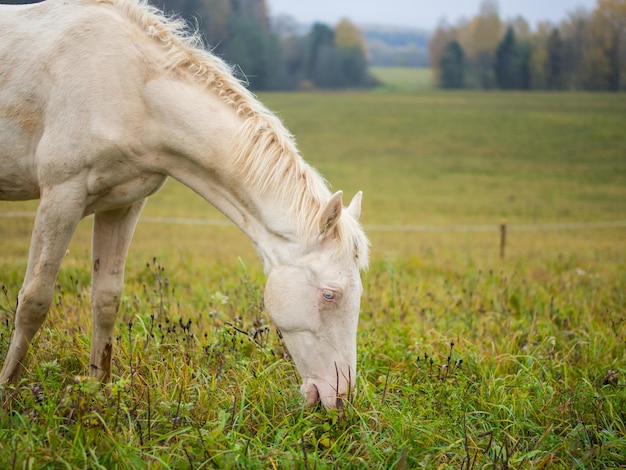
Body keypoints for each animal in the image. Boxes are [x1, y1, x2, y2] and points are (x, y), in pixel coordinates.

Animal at [0, 0, 368, 410]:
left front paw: (99, 394)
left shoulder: (123, 205)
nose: (341, 398)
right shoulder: (62, 196)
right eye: (330, 294)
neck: (133, 88)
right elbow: (33, 300)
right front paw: (7, 393)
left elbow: (106, 299)